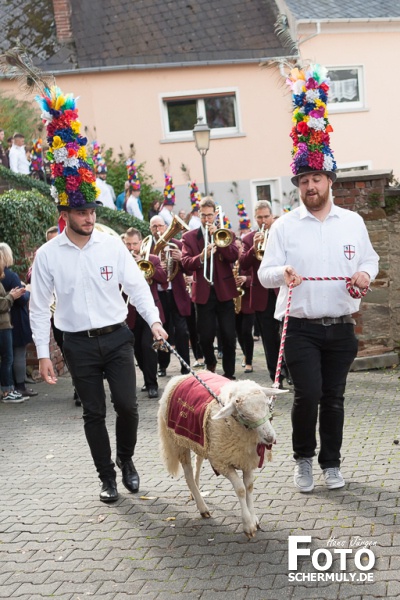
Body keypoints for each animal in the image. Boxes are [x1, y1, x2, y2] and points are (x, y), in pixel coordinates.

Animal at [159, 376, 288, 540]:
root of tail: (180, 377)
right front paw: (248, 525)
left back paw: (195, 493)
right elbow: (241, 489)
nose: (270, 438)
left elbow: (249, 486)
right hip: (179, 442)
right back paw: (202, 507)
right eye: (243, 415)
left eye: (267, 404)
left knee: (198, 462)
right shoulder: (222, 463)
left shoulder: (246, 459)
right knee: (188, 475)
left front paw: (254, 518)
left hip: (202, 441)